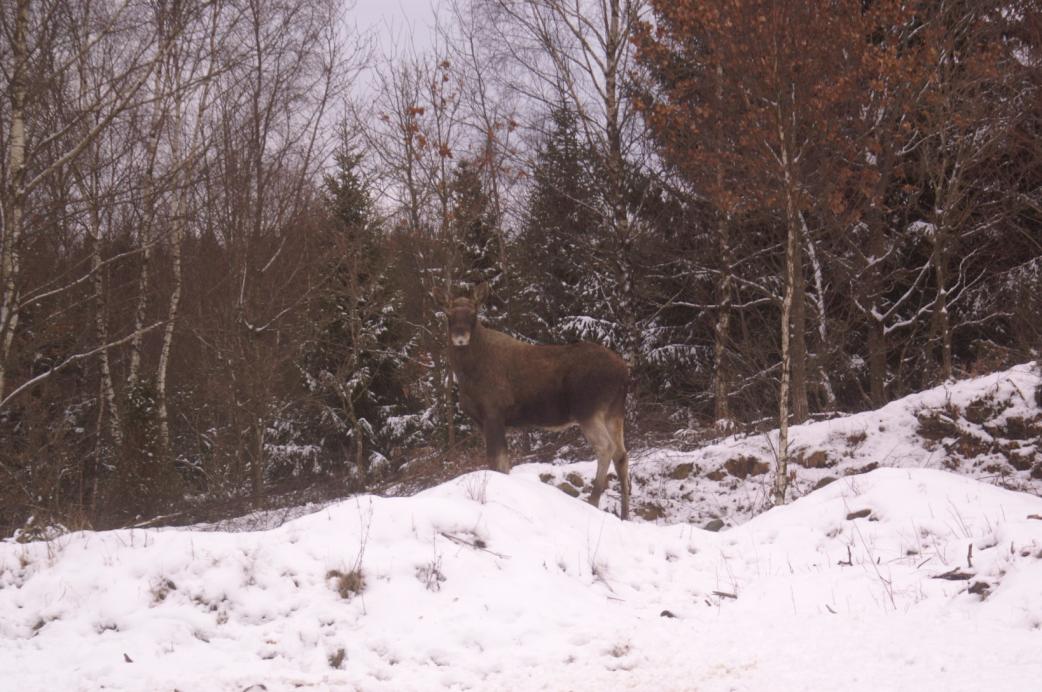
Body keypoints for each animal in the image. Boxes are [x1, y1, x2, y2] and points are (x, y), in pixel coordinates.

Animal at [435, 283, 629, 519]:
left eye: (474, 312)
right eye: (448, 313)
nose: (460, 336)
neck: (466, 374)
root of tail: (625, 373)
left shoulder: (493, 413)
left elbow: (497, 463)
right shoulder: (481, 421)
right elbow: (501, 463)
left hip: (588, 410)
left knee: (605, 448)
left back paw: (593, 502)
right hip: (614, 412)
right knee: (621, 454)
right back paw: (625, 514)